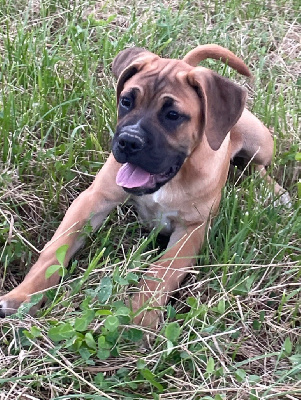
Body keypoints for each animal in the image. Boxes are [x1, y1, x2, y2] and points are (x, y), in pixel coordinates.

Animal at [0, 44, 288, 324]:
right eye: (126, 101)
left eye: (173, 115)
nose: (128, 141)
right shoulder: (93, 200)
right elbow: (54, 251)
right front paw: (22, 297)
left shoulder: (192, 229)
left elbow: (161, 273)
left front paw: (139, 319)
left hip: (260, 142)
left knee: (256, 167)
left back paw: (277, 195)